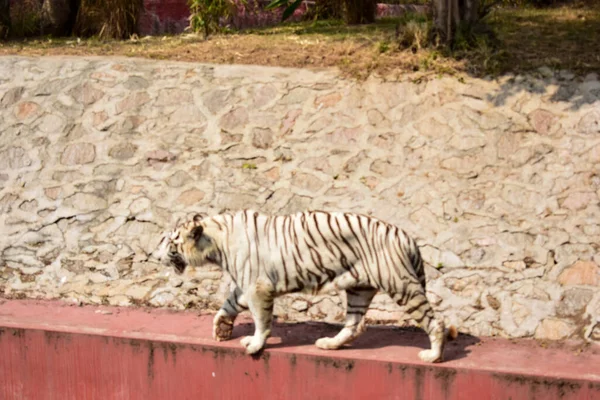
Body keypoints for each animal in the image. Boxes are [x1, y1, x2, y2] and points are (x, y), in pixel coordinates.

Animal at [152, 209, 458, 362]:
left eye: (169, 241)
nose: (152, 254)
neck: (215, 243)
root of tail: (407, 236)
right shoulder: (246, 283)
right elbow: (229, 303)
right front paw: (221, 329)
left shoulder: (257, 286)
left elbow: (261, 319)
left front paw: (254, 344)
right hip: (359, 288)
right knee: (355, 324)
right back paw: (329, 344)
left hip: (400, 284)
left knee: (435, 322)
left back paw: (433, 356)